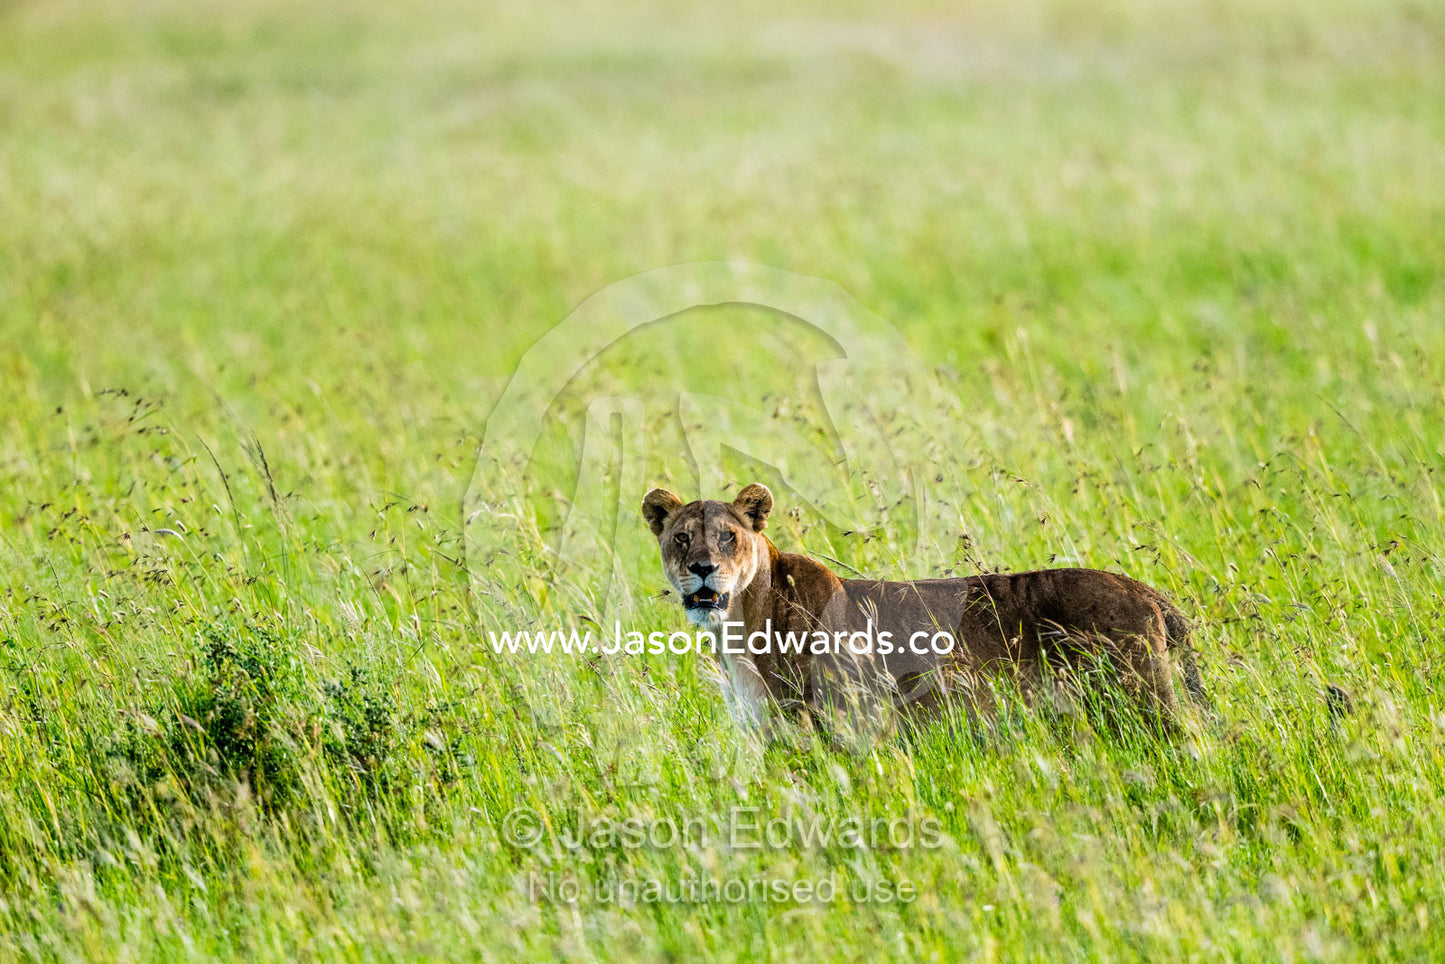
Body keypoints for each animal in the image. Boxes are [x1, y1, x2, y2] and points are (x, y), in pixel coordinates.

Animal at [642, 483, 1208, 746]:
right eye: (682, 538)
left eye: (728, 537)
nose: (703, 568)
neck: (737, 629)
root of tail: (1146, 590)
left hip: (1144, 704)